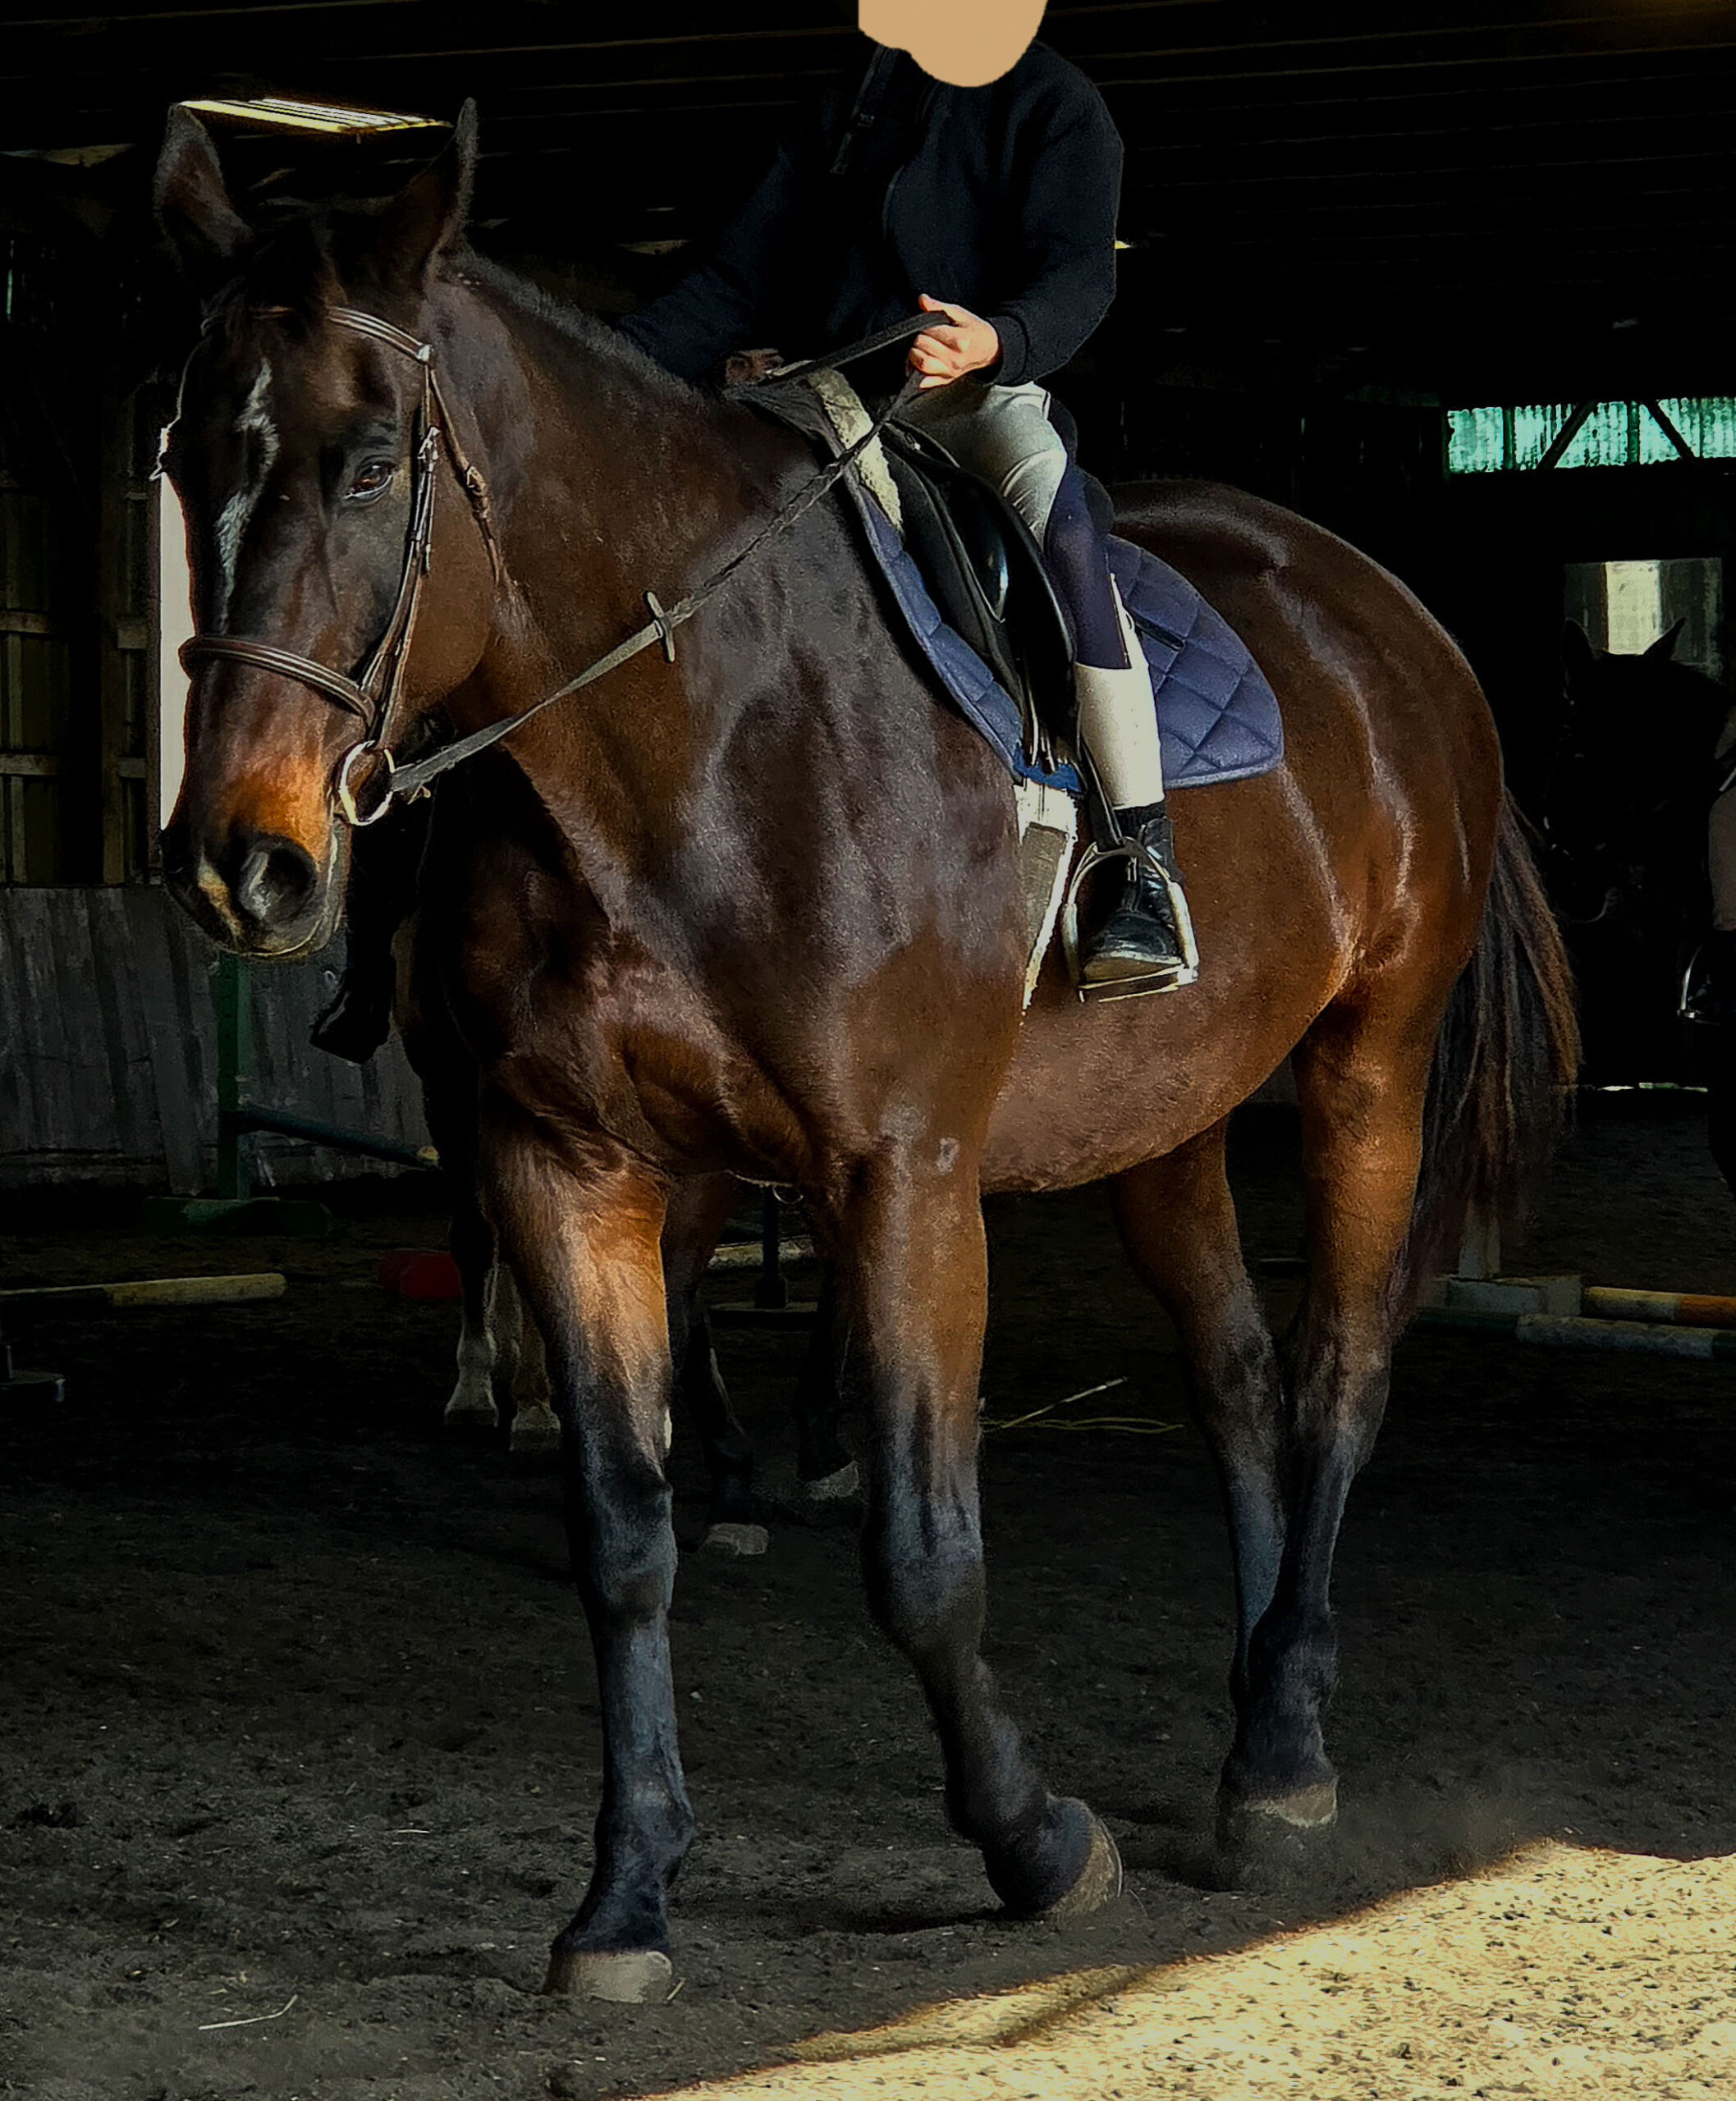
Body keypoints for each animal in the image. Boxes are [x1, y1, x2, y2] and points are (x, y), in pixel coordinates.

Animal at [153, 105, 1576, 2001]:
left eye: (374, 464)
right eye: (181, 461)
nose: (240, 865)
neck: (685, 740)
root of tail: (1384, 606)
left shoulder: (900, 1176)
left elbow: (921, 1555)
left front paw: (1037, 1844)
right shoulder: (567, 1163)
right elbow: (622, 1531)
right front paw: (626, 1898)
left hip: (1369, 1064)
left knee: (1340, 1372)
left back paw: (1277, 1748)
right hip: (1167, 1118)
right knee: (1238, 1381)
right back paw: (1272, 1721)